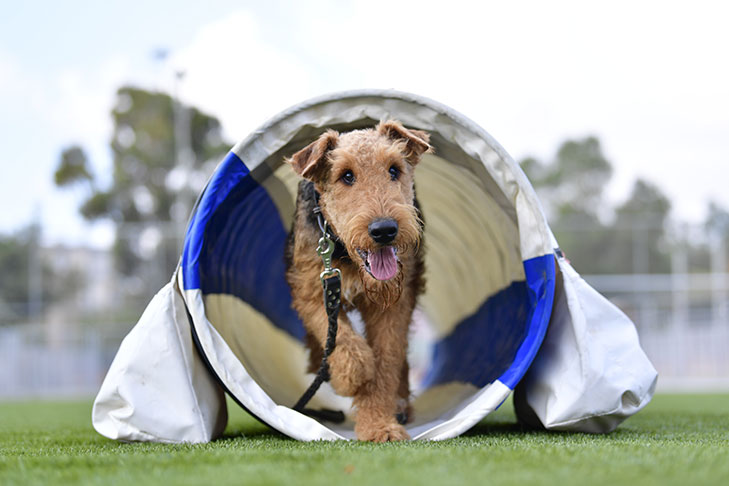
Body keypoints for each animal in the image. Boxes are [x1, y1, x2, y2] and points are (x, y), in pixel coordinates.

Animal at [284, 120, 430, 440]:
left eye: (394, 170)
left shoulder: (393, 305)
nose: (384, 230)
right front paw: (352, 377)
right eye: (346, 176)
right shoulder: (314, 290)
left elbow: (387, 361)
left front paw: (380, 426)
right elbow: (344, 342)